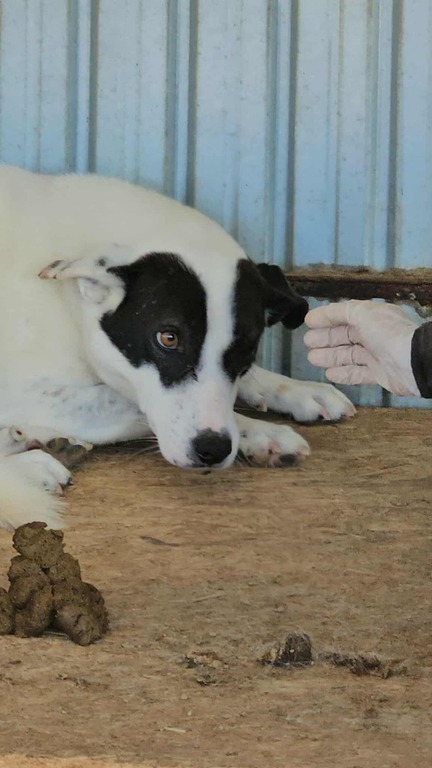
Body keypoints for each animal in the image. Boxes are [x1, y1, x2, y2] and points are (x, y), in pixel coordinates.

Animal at [0, 164, 355, 530]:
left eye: (247, 347)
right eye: (168, 338)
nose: (212, 450)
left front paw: (295, 389)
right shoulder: (22, 392)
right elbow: (126, 402)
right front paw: (261, 431)